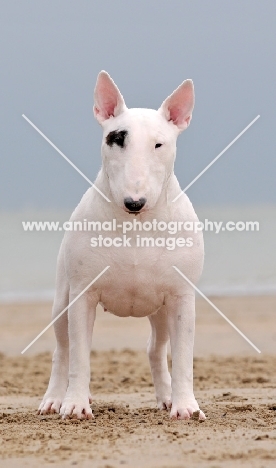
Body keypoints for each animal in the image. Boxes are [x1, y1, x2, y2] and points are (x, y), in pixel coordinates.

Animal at [38, 70, 206, 420]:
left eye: (159, 143)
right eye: (116, 139)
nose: (134, 202)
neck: (137, 225)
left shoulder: (182, 298)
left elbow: (183, 358)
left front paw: (186, 407)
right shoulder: (83, 295)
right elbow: (79, 357)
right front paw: (76, 404)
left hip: (161, 311)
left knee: (156, 348)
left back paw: (167, 397)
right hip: (62, 301)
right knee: (63, 350)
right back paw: (55, 399)